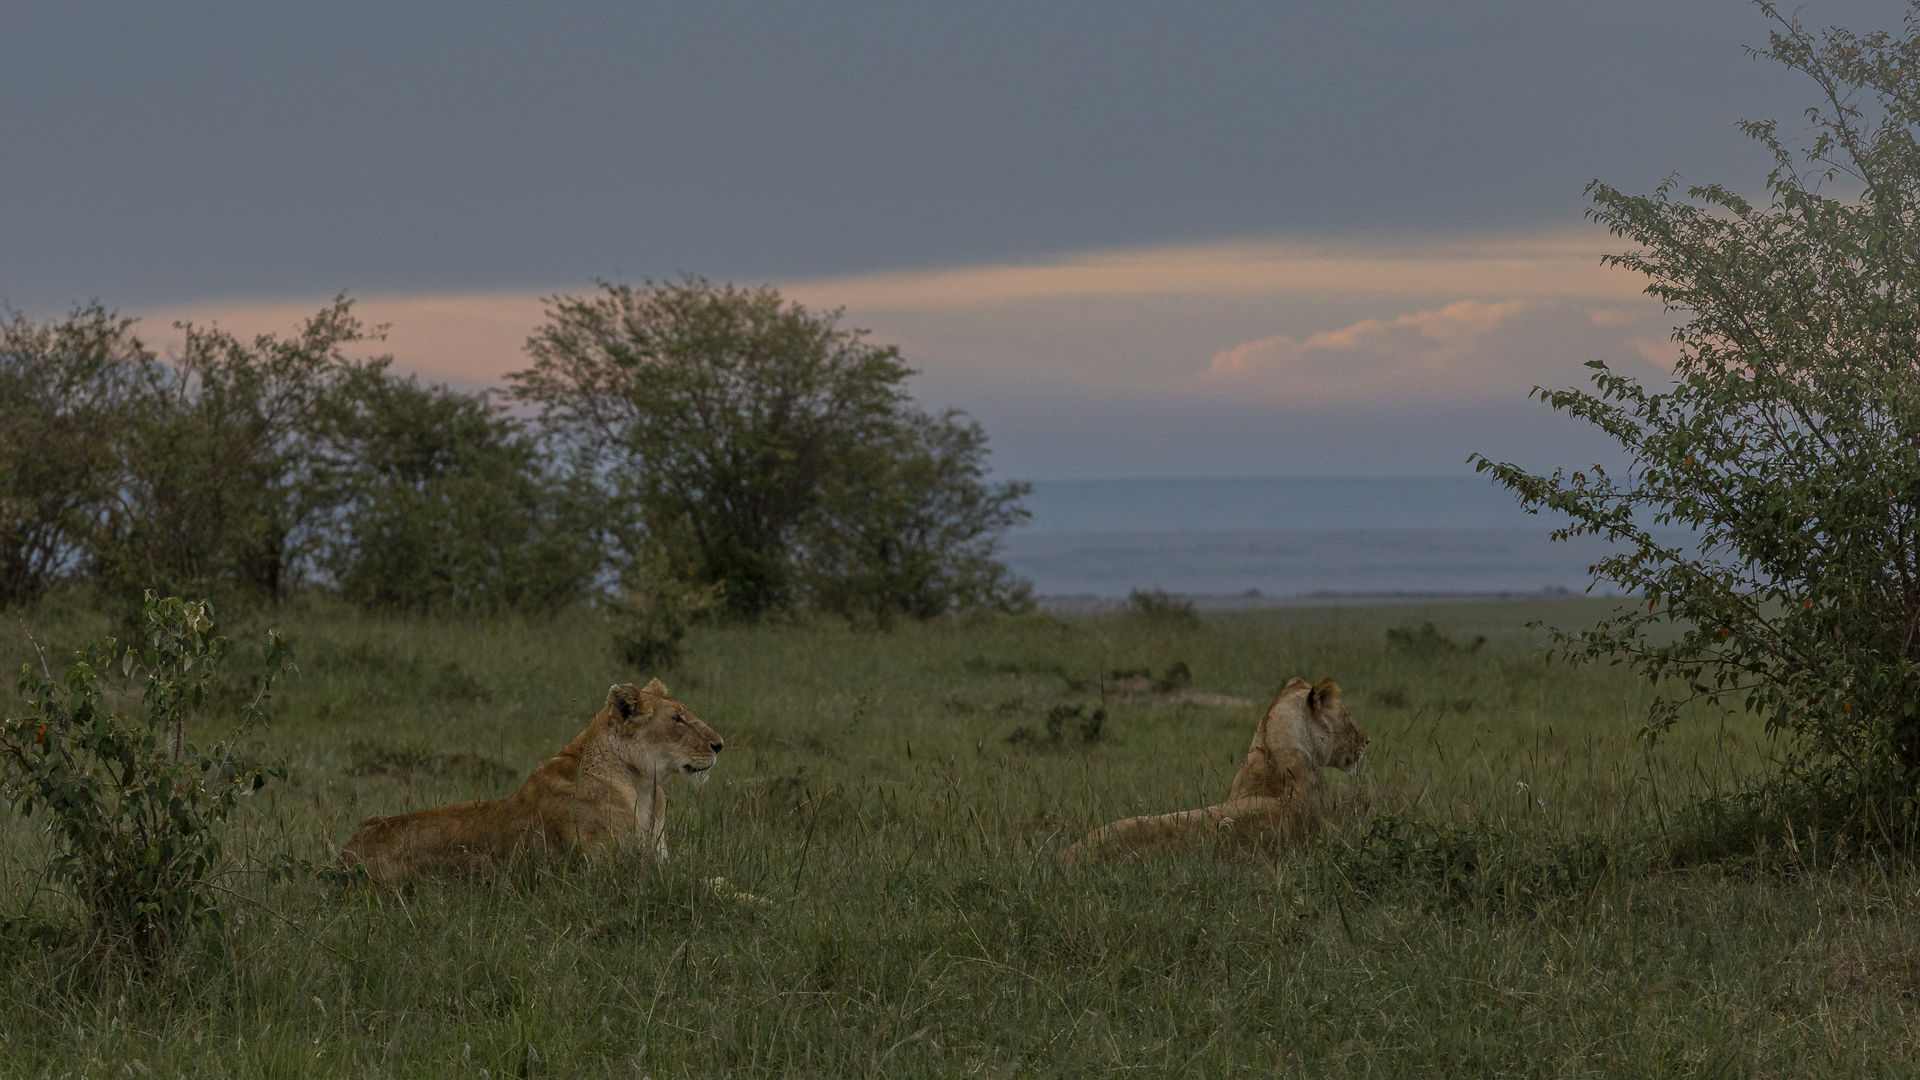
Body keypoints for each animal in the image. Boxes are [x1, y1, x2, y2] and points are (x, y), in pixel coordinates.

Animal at [340, 679, 723, 884]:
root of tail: (345, 853)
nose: (720, 744)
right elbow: (709, 885)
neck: (642, 785)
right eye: (678, 719)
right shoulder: (609, 871)